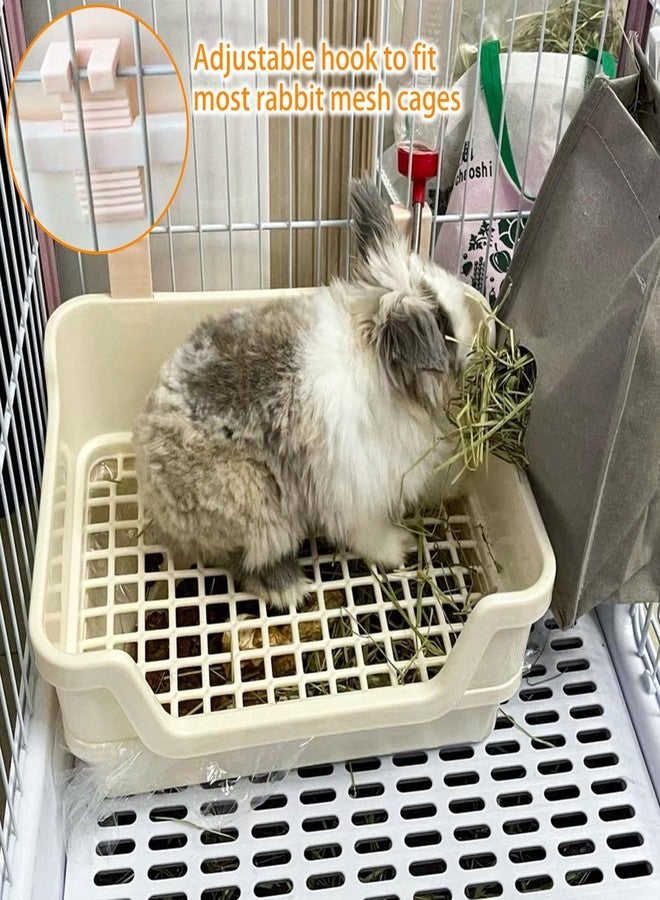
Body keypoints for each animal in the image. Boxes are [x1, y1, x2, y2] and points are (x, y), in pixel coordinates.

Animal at [133, 177, 487, 610]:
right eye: (442, 323)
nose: (471, 352)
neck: (375, 355)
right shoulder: (356, 494)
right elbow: (366, 533)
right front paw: (399, 547)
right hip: (257, 507)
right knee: (243, 563)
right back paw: (289, 588)